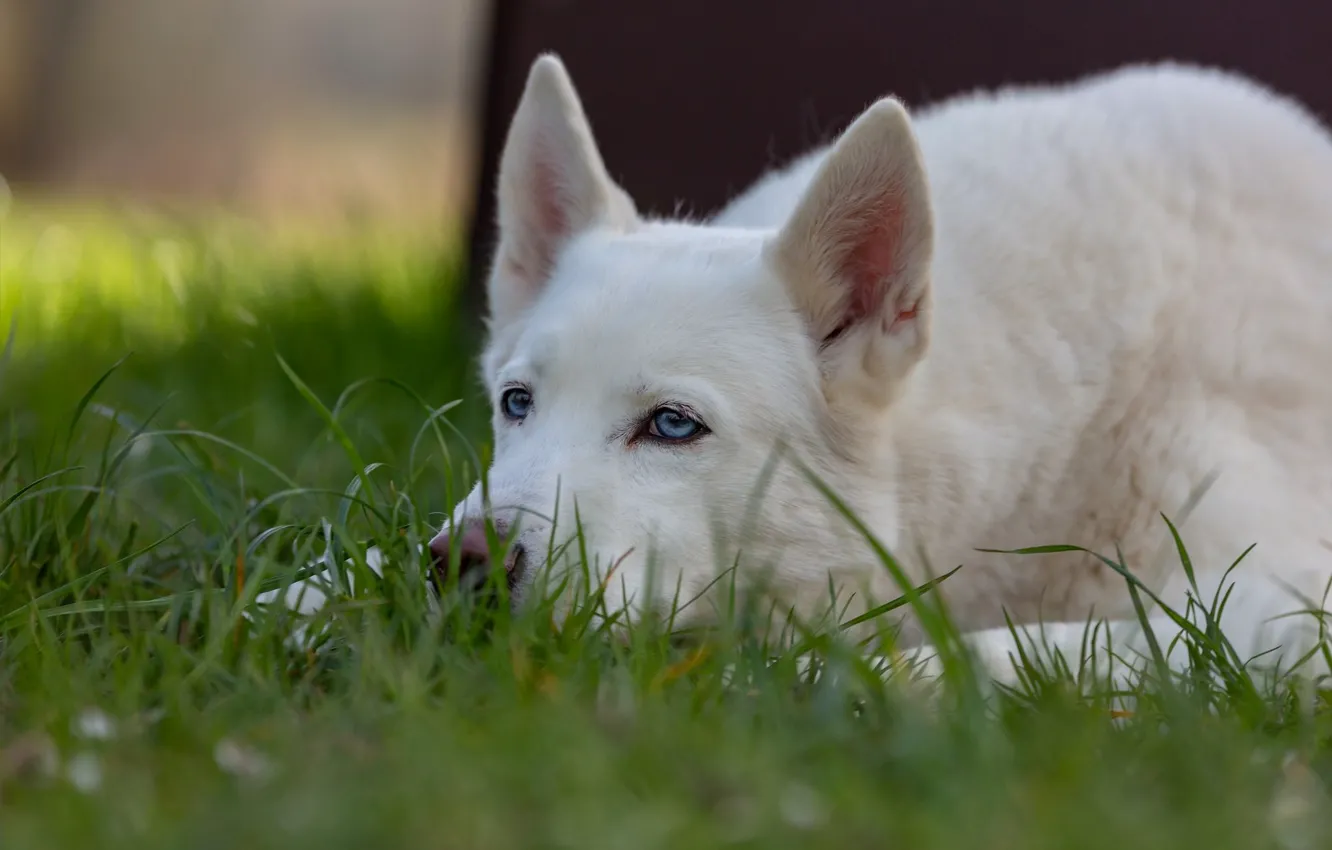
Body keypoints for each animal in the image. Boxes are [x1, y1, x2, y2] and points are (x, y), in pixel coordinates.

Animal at [297, 54, 1332, 692]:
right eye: (517, 404)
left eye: (673, 425)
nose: (464, 562)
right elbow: (347, 567)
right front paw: (302, 603)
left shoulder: (1268, 605)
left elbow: (995, 653)